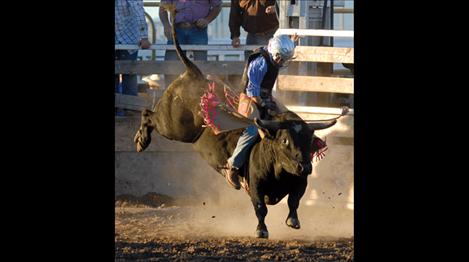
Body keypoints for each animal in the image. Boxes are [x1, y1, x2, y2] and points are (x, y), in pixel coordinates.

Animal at [133, 3, 348, 239]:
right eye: (284, 140)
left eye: (310, 140)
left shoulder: (301, 182)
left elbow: (294, 201)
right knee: (148, 114)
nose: (305, 166)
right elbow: (260, 208)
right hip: (173, 125)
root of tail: (195, 73)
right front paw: (261, 230)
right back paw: (141, 140)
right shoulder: (255, 187)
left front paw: (293, 220)